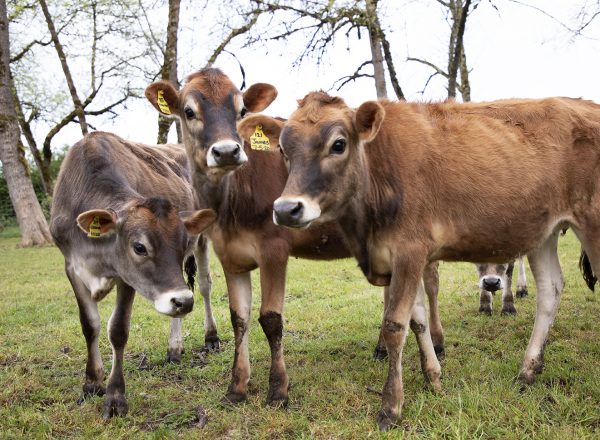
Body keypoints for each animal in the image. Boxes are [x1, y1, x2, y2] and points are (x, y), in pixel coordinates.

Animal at [49, 131, 216, 420]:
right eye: (139, 247)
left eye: (183, 243)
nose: (183, 301)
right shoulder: (71, 266)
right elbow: (89, 324)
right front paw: (92, 383)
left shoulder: (126, 277)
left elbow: (118, 330)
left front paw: (115, 398)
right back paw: (174, 348)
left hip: (203, 240)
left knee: (204, 285)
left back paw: (210, 336)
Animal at [145, 67, 442, 408]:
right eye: (189, 111)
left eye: (242, 110)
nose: (227, 151)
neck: (232, 203)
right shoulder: (230, 256)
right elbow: (239, 318)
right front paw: (237, 386)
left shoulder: (274, 248)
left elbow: (271, 319)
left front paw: (278, 389)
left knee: (430, 288)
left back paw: (437, 345)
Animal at [274, 91, 600, 432]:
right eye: (283, 149)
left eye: (338, 144)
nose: (285, 209)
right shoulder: (405, 258)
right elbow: (417, 320)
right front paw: (433, 379)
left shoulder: (410, 250)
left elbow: (394, 325)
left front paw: (391, 406)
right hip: (543, 233)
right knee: (550, 290)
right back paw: (528, 371)